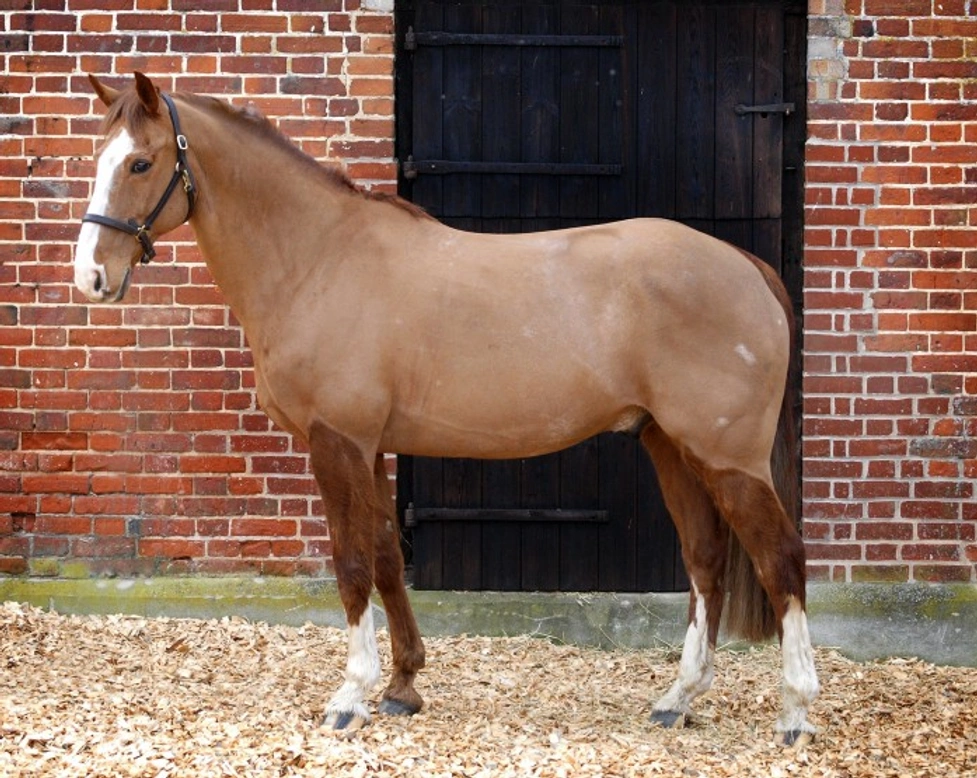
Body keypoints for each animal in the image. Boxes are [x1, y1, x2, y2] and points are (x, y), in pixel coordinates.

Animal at [73, 72, 819, 745]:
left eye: (140, 163)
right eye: (96, 158)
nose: (91, 277)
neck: (318, 259)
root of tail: (746, 266)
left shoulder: (335, 441)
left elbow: (350, 564)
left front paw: (350, 695)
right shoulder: (371, 445)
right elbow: (384, 556)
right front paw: (404, 685)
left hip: (728, 457)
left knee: (779, 558)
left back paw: (795, 711)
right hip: (669, 443)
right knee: (705, 560)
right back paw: (677, 699)